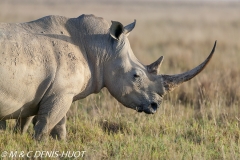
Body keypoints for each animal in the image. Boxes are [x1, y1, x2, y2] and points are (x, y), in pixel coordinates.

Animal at [0, 14, 217, 140]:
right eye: (136, 76)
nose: (156, 106)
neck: (100, 48)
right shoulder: (60, 93)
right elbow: (45, 126)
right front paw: (40, 146)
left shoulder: (52, 92)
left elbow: (54, 126)